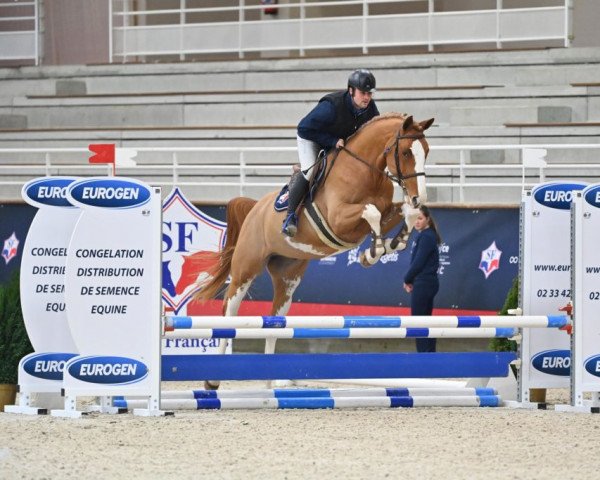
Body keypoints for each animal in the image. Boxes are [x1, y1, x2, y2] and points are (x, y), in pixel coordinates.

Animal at [195, 114, 434, 388]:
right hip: (246, 268)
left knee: (274, 322)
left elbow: (405, 212)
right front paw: (374, 251)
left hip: (288, 277)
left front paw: (388, 246)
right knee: (229, 313)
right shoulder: (340, 219)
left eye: (426, 151)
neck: (364, 171)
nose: (419, 197)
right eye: (405, 152)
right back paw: (212, 381)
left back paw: (272, 381)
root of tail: (255, 207)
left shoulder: (382, 215)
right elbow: (371, 211)